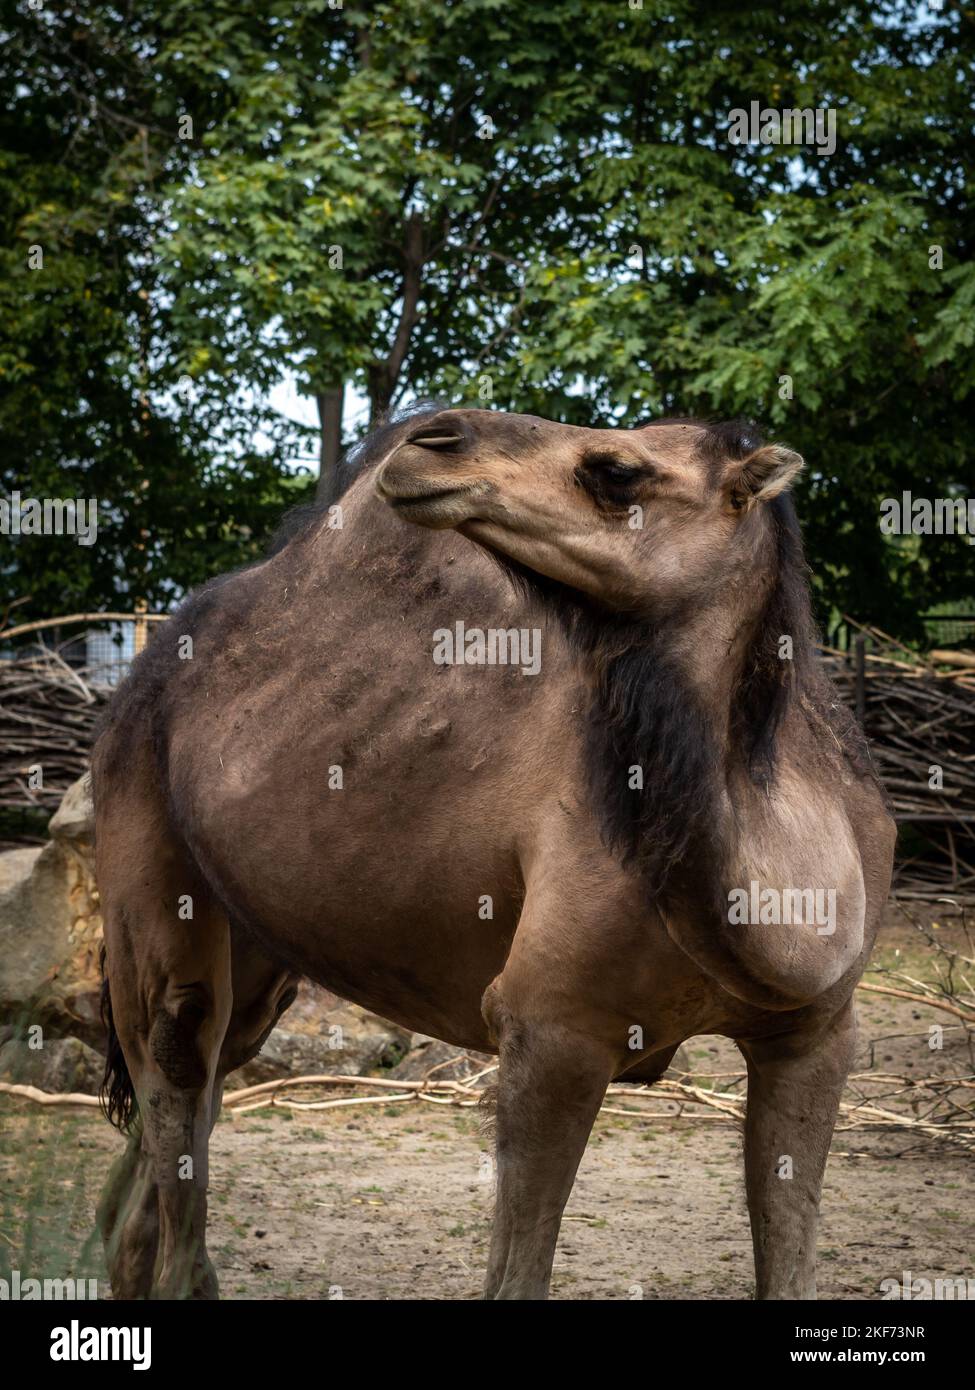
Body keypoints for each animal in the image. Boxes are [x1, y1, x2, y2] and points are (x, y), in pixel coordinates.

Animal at [95, 405, 895, 1295]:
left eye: (616, 470)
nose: (433, 442)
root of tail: (142, 675)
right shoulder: (549, 1027)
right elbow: (517, 1274)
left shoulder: (816, 1033)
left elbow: (787, 1262)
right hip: (141, 850)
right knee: (176, 1065)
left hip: (259, 952)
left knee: (169, 1137)